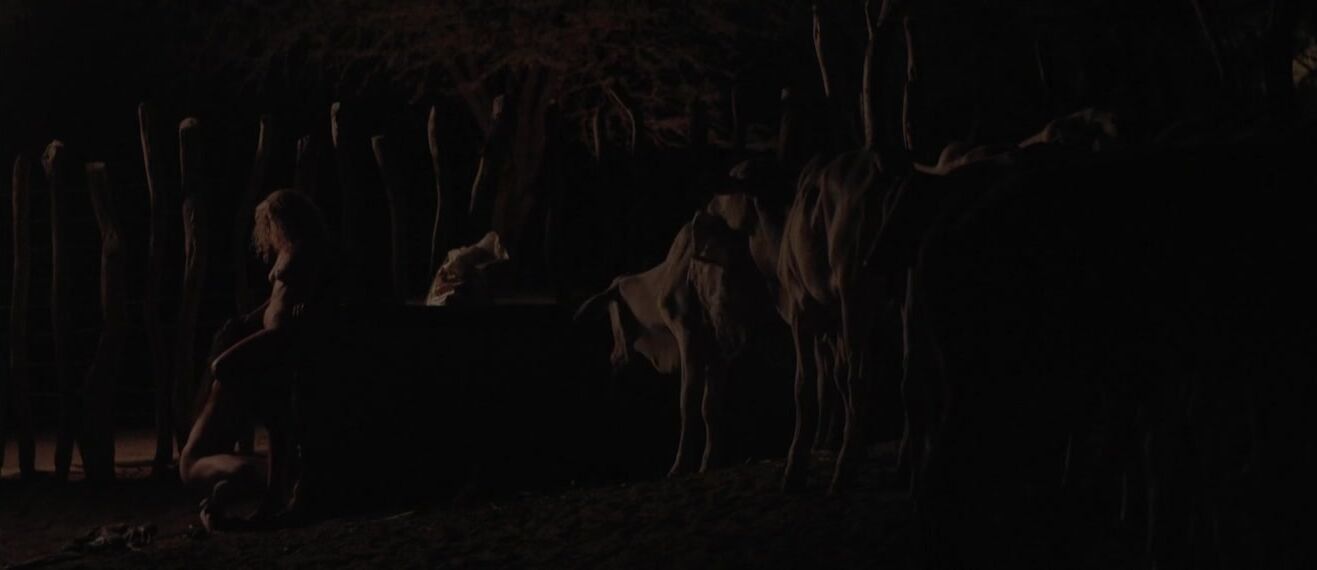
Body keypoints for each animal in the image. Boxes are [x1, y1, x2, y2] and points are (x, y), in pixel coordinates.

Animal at [574, 210, 778, 476]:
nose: (745, 338)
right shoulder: (691, 338)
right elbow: (690, 402)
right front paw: (684, 465)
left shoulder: (712, 348)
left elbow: (707, 405)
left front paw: (704, 463)